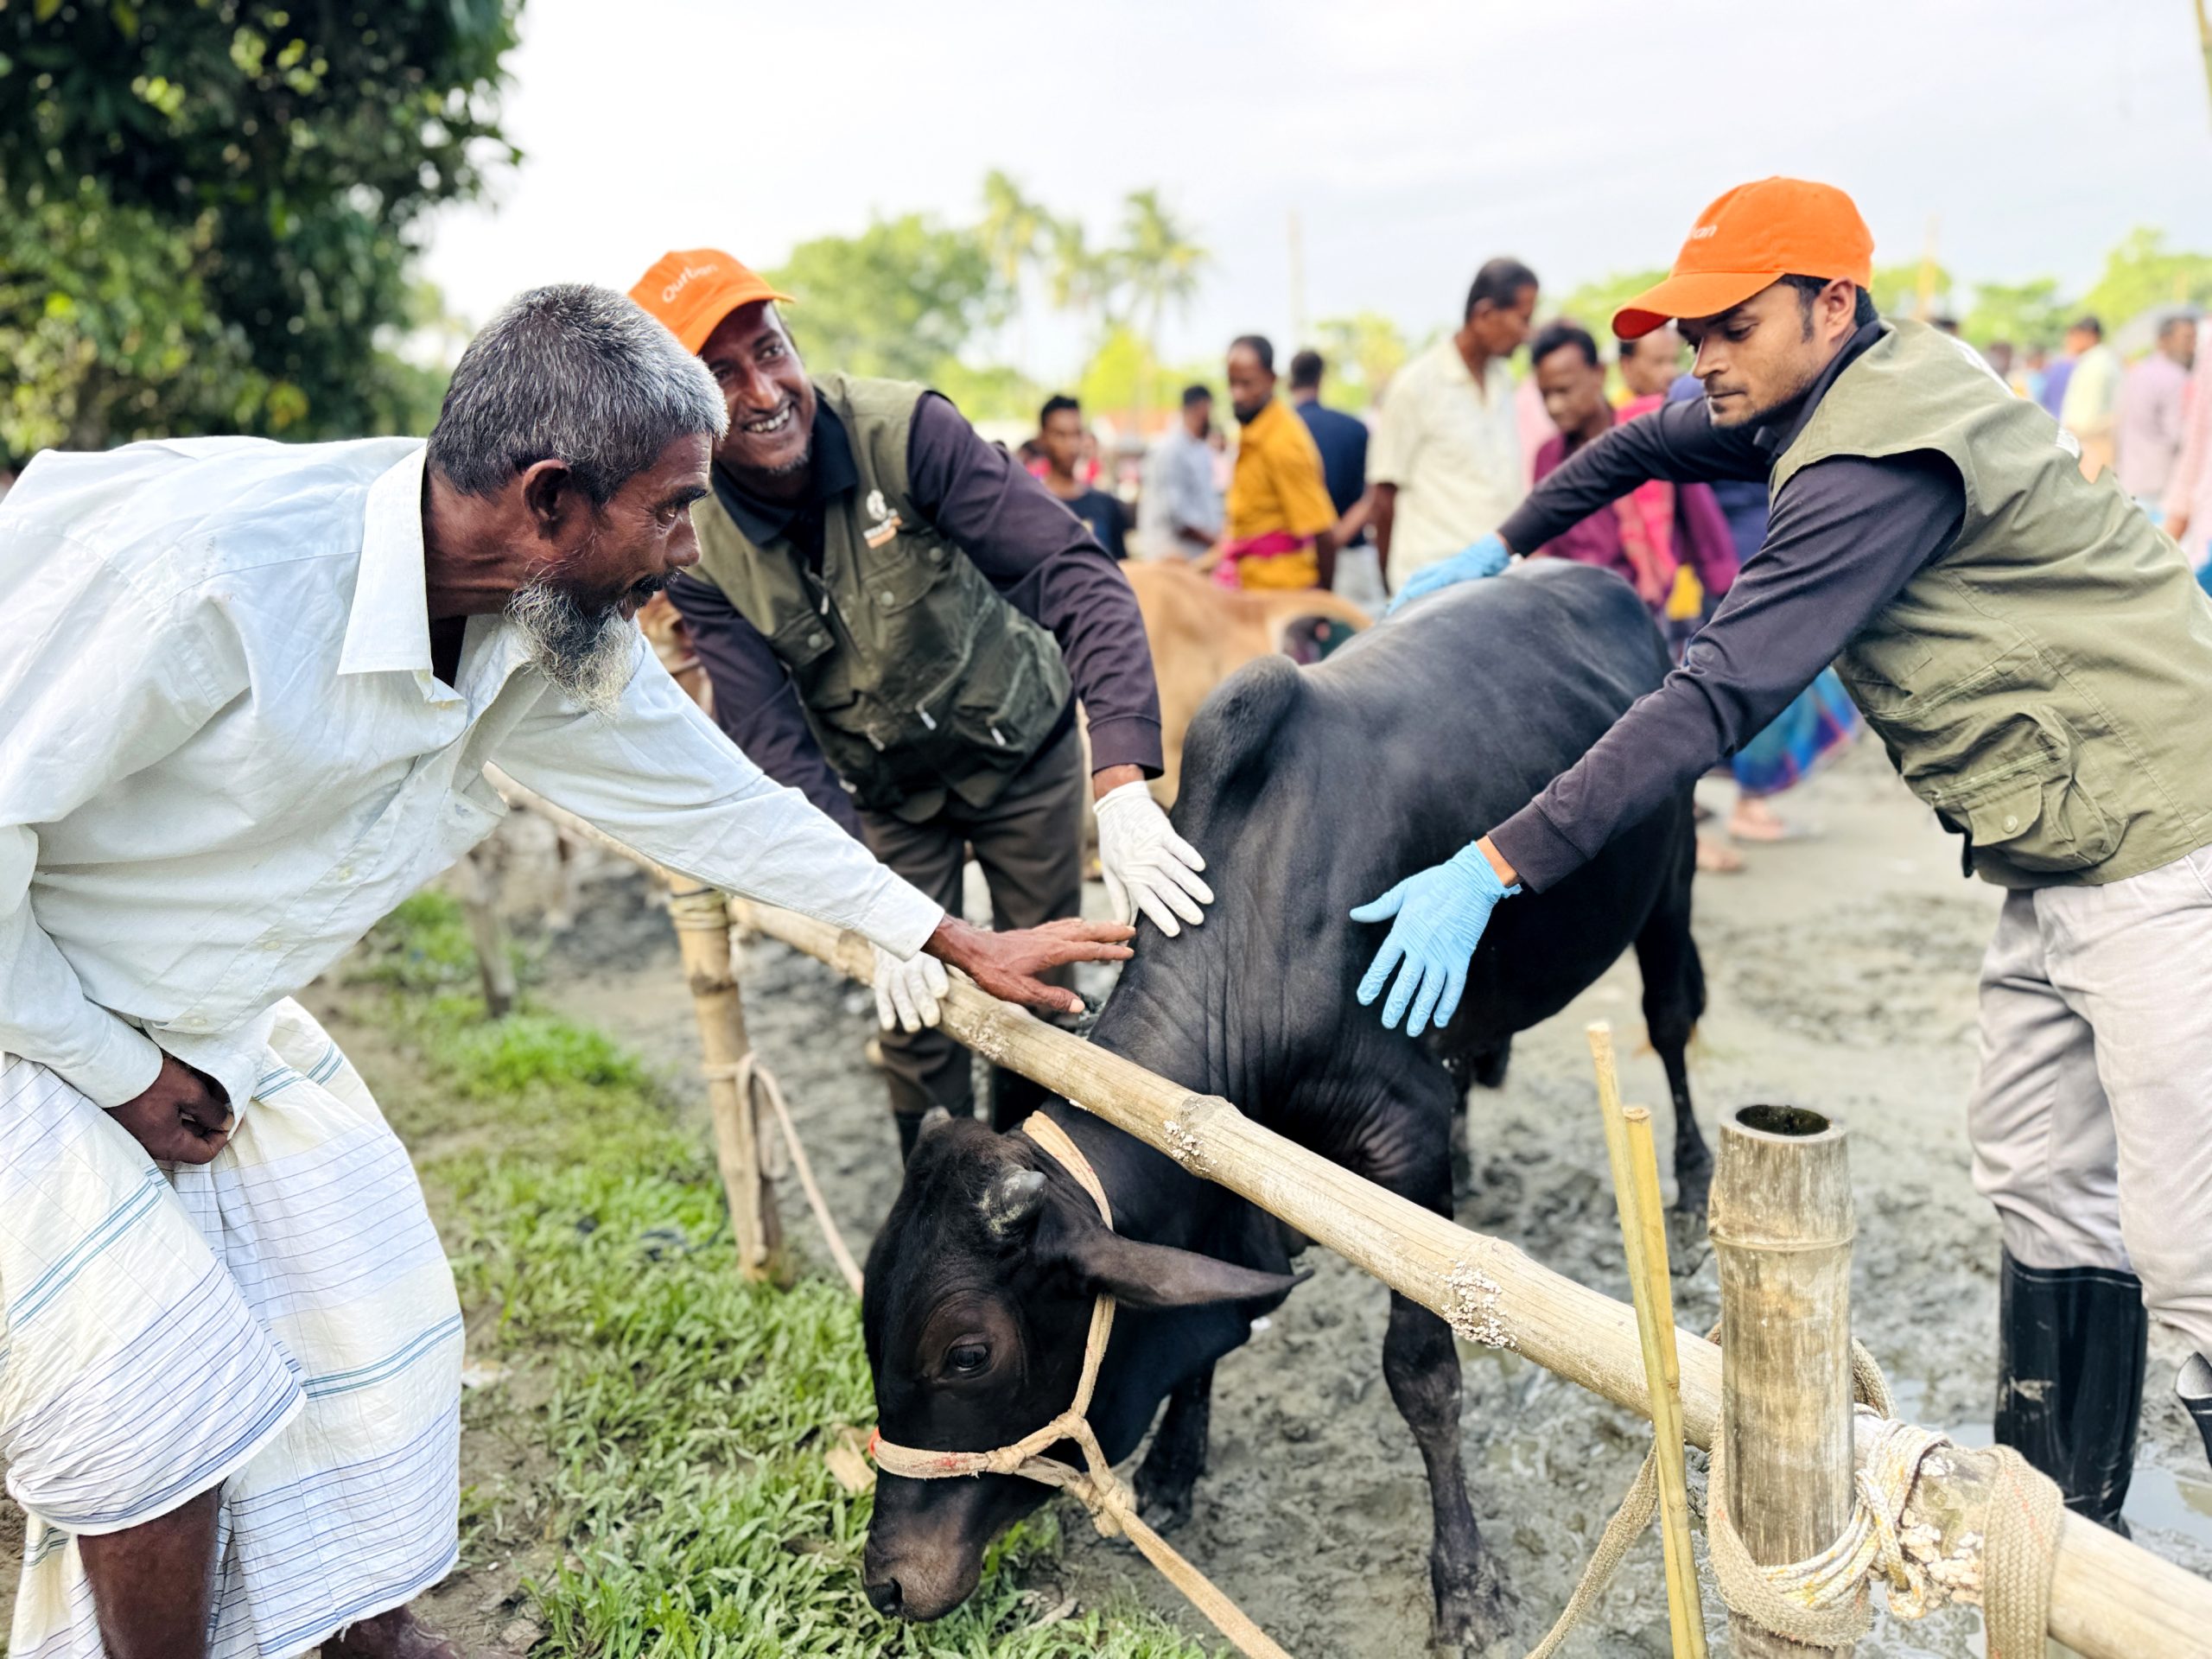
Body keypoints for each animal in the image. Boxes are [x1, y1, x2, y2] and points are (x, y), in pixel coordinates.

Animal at [857, 560, 1708, 1652]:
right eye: (870, 1321)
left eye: (968, 1355)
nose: (884, 1582)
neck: (1258, 936)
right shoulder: (1235, 1164)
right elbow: (1208, 1314)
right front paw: (1174, 1468)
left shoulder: (1402, 1140)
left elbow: (1422, 1373)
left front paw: (1464, 1584)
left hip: (1670, 882)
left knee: (1672, 1021)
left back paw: (1691, 1187)